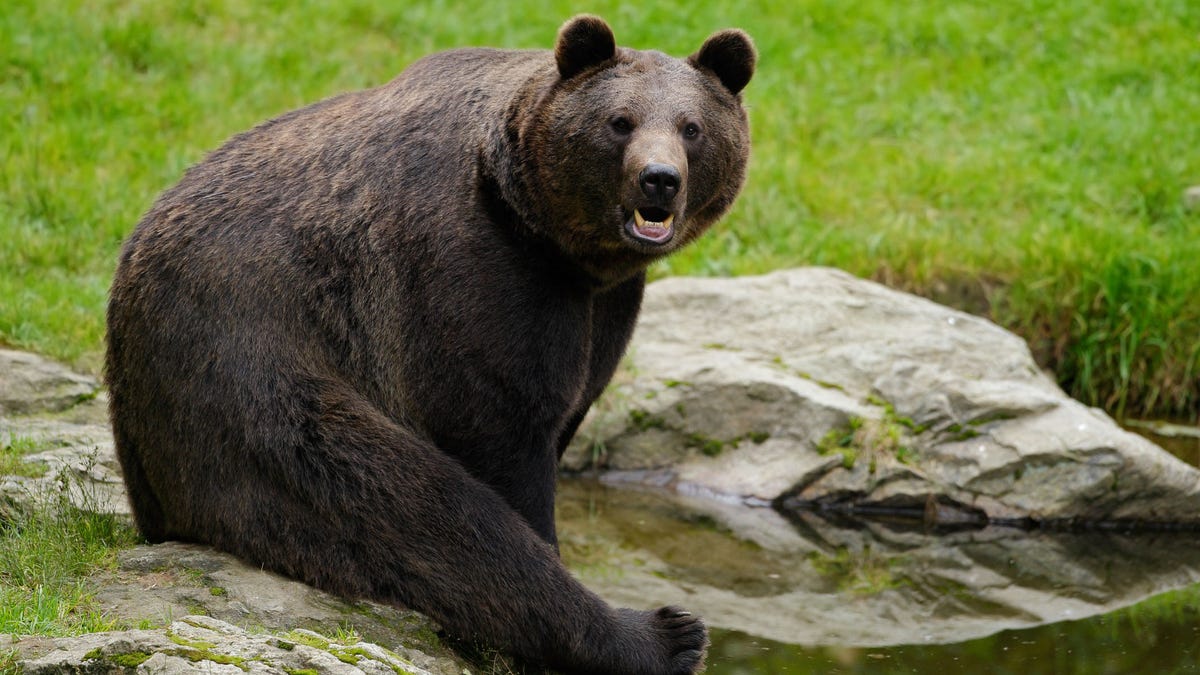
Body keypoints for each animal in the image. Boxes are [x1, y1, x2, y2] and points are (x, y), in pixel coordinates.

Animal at [108, 15, 753, 672]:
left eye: (692, 127)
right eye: (620, 121)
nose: (659, 180)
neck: (552, 237)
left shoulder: (605, 305)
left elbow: (569, 406)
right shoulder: (470, 272)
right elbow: (500, 430)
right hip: (249, 369)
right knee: (413, 508)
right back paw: (661, 634)